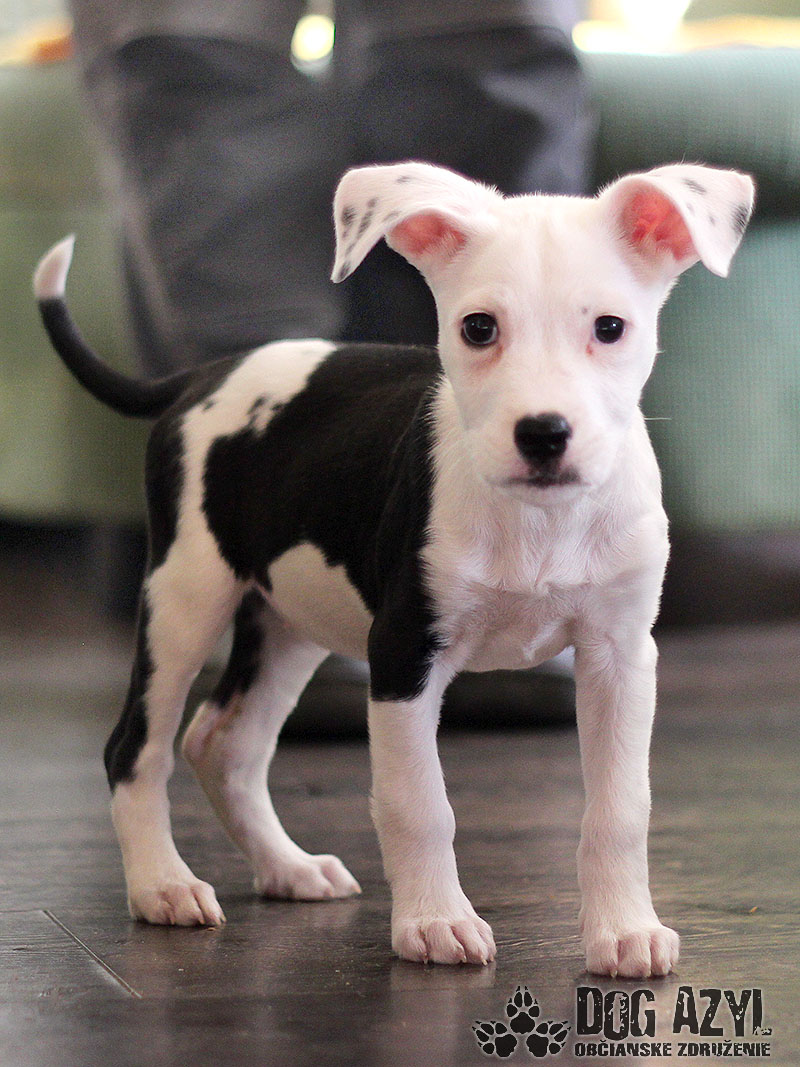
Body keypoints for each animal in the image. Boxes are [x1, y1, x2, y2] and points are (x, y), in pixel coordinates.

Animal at [34, 160, 753, 976]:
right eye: (479, 328)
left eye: (610, 327)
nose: (543, 434)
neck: (538, 519)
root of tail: (201, 377)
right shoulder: (404, 652)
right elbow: (420, 803)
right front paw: (435, 922)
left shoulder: (620, 657)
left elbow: (621, 807)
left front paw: (624, 930)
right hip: (185, 597)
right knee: (138, 746)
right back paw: (163, 884)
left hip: (289, 621)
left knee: (224, 744)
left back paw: (288, 868)